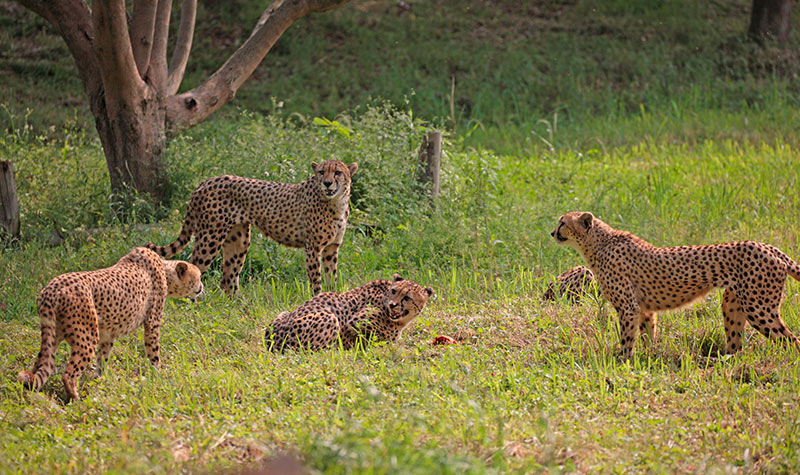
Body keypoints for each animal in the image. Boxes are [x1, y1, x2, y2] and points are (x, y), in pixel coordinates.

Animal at [16, 247, 203, 400]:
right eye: (199, 277)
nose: (202, 287)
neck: (165, 272)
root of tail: (51, 289)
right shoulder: (152, 322)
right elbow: (154, 351)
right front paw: (159, 375)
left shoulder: (108, 334)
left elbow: (102, 359)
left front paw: (100, 381)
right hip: (87, 337)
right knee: (68, 374)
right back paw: (76, 399)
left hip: (54, 335)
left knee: (40, 363)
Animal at [145, 162, 358, 300]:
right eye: (321, 172)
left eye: (337, 172)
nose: (327, 183)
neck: (336, 202)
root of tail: (207, 181)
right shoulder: (313, 247)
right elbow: (316, 278)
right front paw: (319, 298)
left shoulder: (332, 248)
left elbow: (332, 276)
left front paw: (332, 295)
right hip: (210, 238)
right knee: (194, 268)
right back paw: (192, 303)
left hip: (238, 240)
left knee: (227, 279)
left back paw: (236, 304)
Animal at [266, 276, 434, 354]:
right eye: (394, 291)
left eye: (407, 297)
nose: (393, 305)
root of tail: (273, 345)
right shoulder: (355, 322)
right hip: (329, 318)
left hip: (282, 315)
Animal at [552, 212, 800, 356]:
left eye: (563, 223)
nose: (552, 232)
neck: (598, 243)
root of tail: (768, 246)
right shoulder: (644, 309)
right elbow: (647, 335)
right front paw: (649, 356)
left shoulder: (628, 308)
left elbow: (627, 338)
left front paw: (622, 361)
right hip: (733, 303)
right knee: (736, 345)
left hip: (759, 309)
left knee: (791, 341)